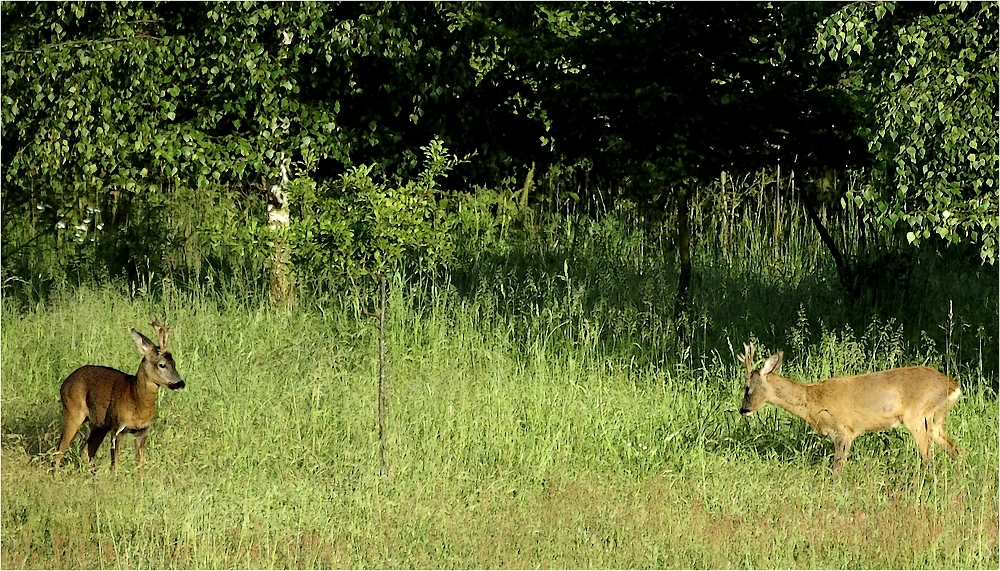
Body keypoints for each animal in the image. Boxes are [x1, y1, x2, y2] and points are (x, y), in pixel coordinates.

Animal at [54, 322, 186, 470]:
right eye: (161, 365)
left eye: (174, 363)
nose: (181, 383)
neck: (136, 401)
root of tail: (64, 383)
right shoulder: (118, 428)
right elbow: (115, 465)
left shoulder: (143, 431)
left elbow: (140, 464)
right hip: (73, 411)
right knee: (59, 450)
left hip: (100, 425)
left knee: (85, 453)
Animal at [736, 342, 960, 476]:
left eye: (747, 388)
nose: (743, 409)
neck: (812, 401)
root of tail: (954, 387)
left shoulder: (844, 430)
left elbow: (837, 467)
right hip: (936, 420)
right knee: (955, 450)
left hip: (917, 416)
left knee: (929, 458)